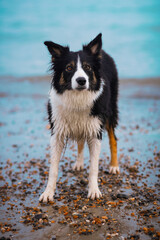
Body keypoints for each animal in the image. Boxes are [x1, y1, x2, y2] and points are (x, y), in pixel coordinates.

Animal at [39, 33, 119, 202]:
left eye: (87, 67)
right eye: (69, 68)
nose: (81, 80)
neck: (77, 98)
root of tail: (103, 52)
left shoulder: (95, 131)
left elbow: (94, 167)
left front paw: (94, 190)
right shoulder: (57, 132)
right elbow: (53, 168)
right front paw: (48, 193)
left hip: (110, 110)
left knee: (113, 138)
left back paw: (114, 166)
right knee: (81, 141)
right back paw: (79, 163)